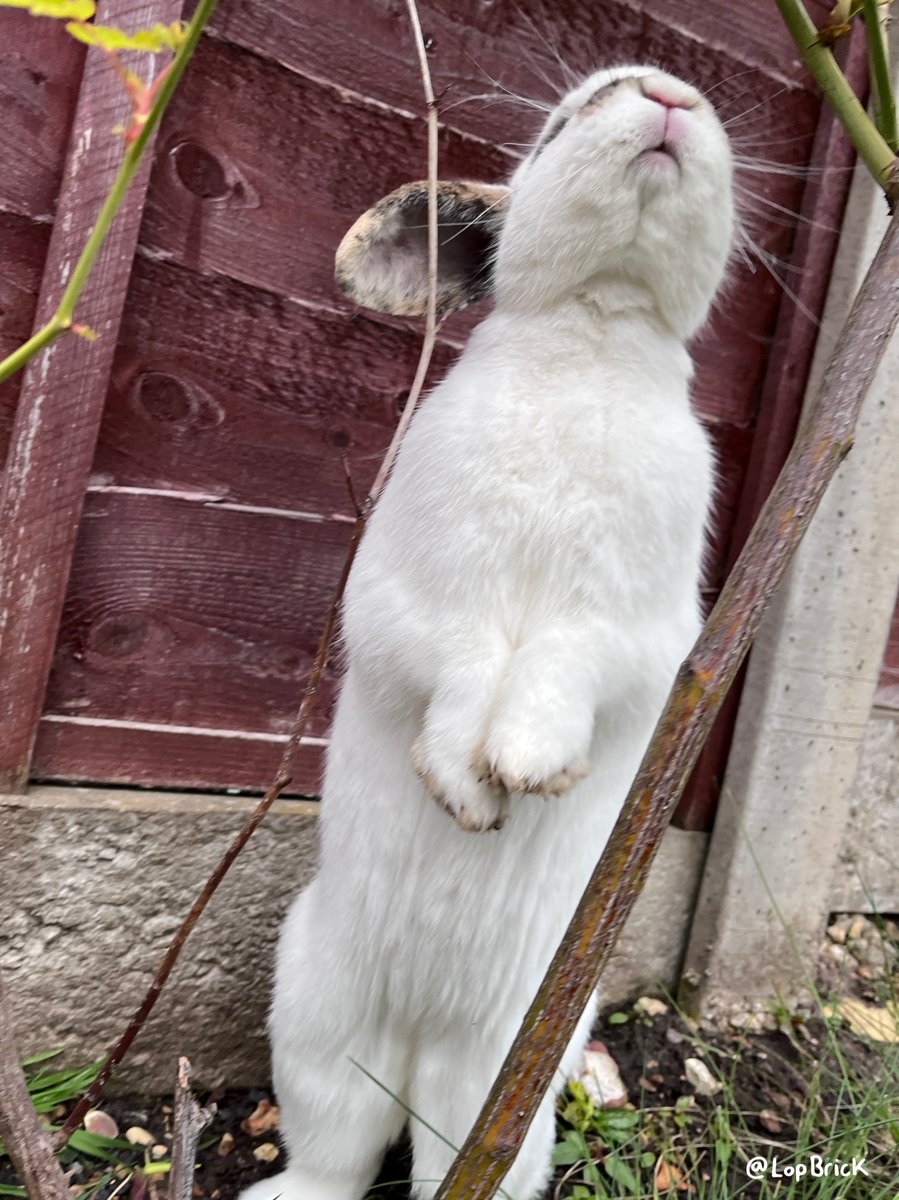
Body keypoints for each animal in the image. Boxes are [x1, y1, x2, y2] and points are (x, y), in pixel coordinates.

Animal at [240, 64, 735, 1200]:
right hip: (316, 1011)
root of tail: (419, 1035)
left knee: (446, 1154)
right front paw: (468, 788)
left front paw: (526, 765)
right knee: (336, 1148)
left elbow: (561, 666)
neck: (596, 331)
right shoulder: (405, 597)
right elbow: (454, 661)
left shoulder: (638, 638)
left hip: (501, 1074)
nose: (668, 96)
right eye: (566, 117)